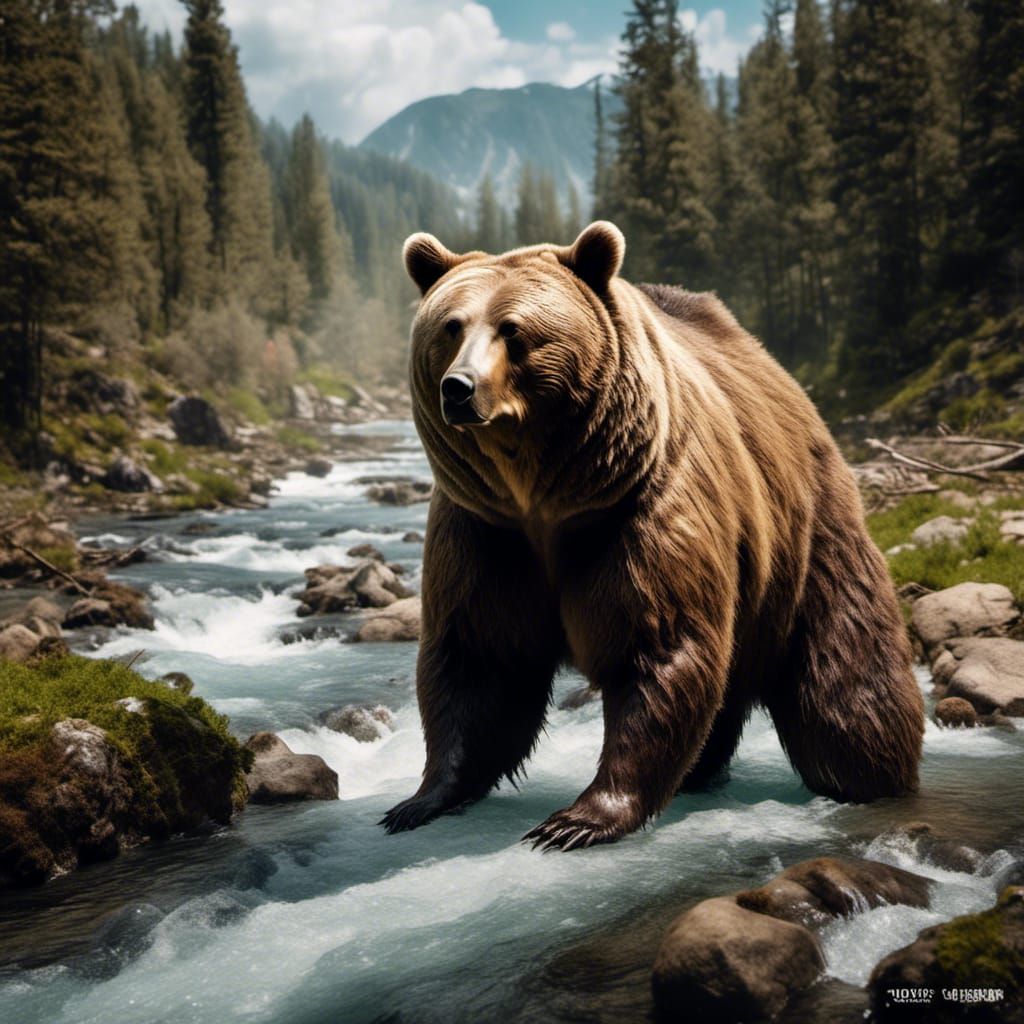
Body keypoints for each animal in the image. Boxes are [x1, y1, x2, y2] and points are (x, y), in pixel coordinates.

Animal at [381, 221, 924, 851]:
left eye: (512, 328)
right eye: (451, 325)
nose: (459, 388)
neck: (541, 490)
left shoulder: (637, 509)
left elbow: (657, 646)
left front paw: (576, 819)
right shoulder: (485, 528)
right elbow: (479, 656)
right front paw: (421, 799)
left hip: (808, 528)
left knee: (844, 675)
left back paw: (874, 776)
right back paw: (700, 773)